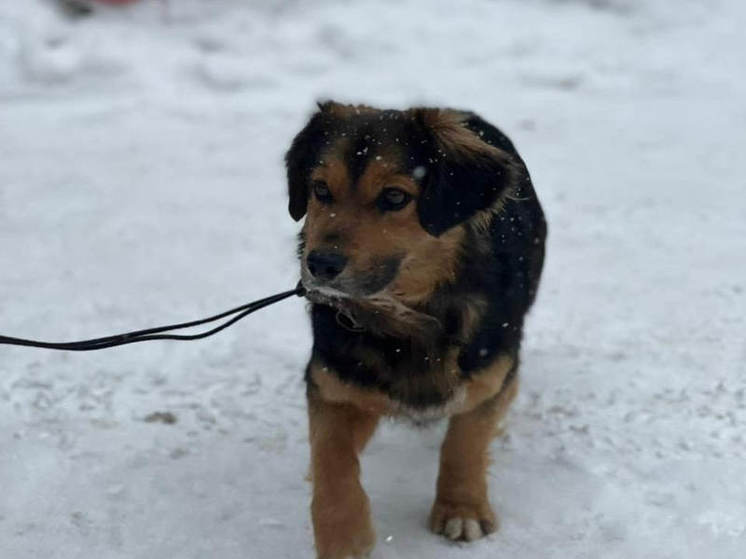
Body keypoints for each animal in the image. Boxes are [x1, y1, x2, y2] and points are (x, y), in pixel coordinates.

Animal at [284, 101, 548, 559]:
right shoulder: (333, 382)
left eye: (394, 197)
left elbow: (466, 438)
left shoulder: (493, 374)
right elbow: (331, 458)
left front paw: (462, 508)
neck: (407, 316)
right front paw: (343, 535)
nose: (319, 264)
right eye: (320, 189)